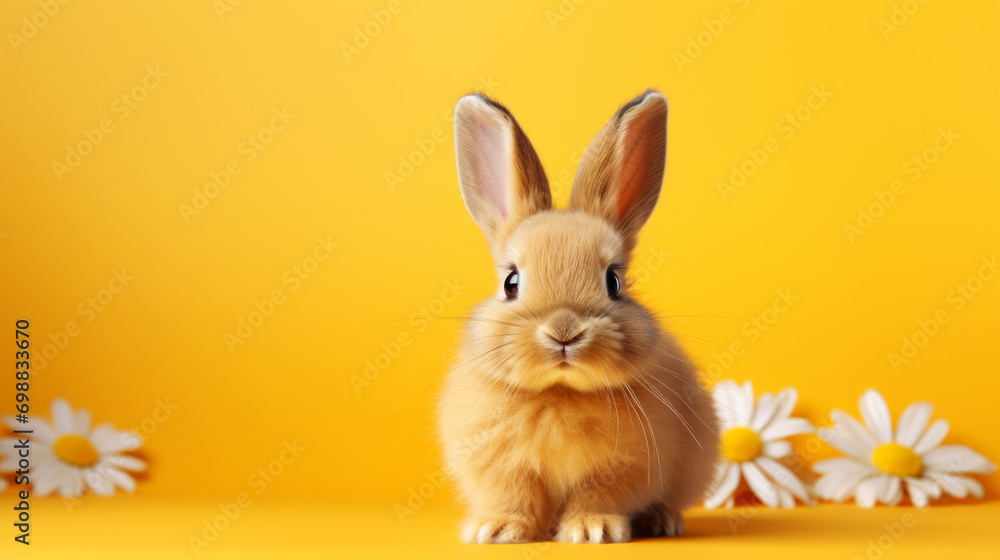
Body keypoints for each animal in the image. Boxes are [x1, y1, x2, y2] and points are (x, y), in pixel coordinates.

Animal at [436, 90, 719, 544]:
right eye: (511, 282)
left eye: (614, 281)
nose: (563, 332)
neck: (559, 393)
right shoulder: (500, 467)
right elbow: (512, 496)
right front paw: (497, 530)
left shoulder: (622, 467)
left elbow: (596, 495)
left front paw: (592, 530)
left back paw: (663, 522)